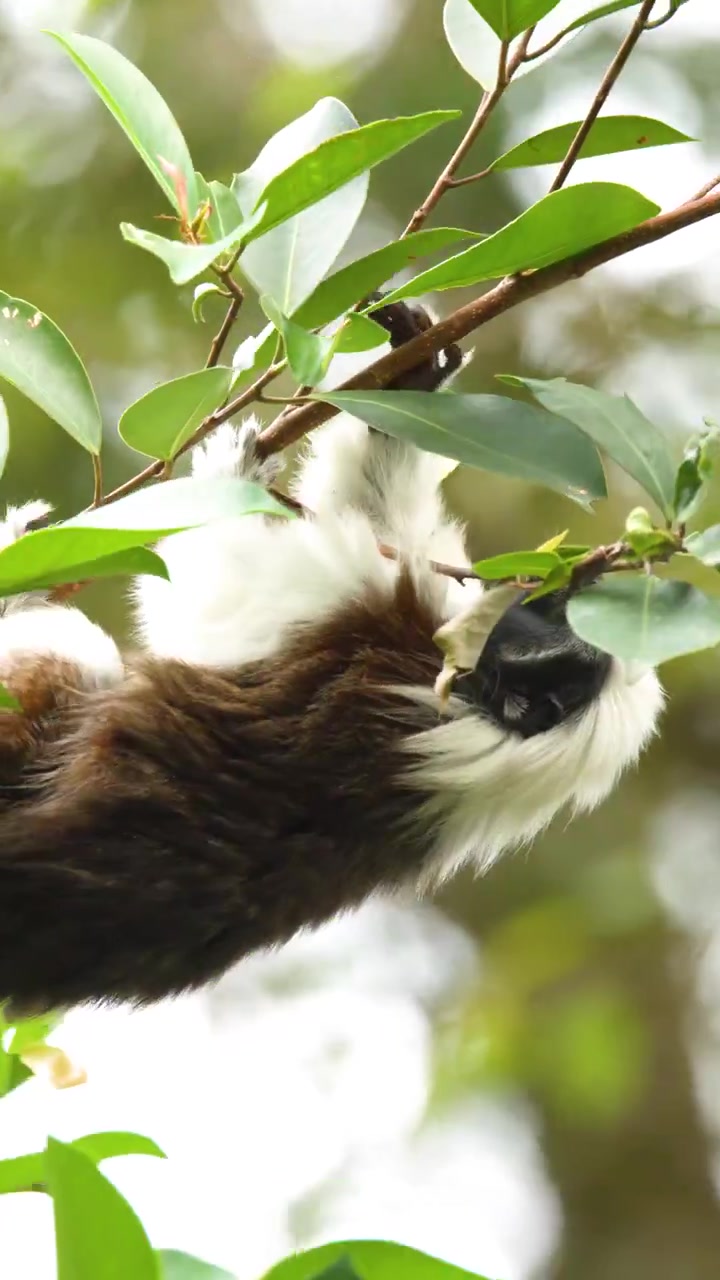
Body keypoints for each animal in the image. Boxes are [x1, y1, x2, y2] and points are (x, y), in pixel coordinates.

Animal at [0, 301, 664, 1013]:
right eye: (562, 611)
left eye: (550, 643)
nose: (548, 597)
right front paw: (413, 376)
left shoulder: (365, 637)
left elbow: (205, 596)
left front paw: (229, 478)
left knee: (72, 655)